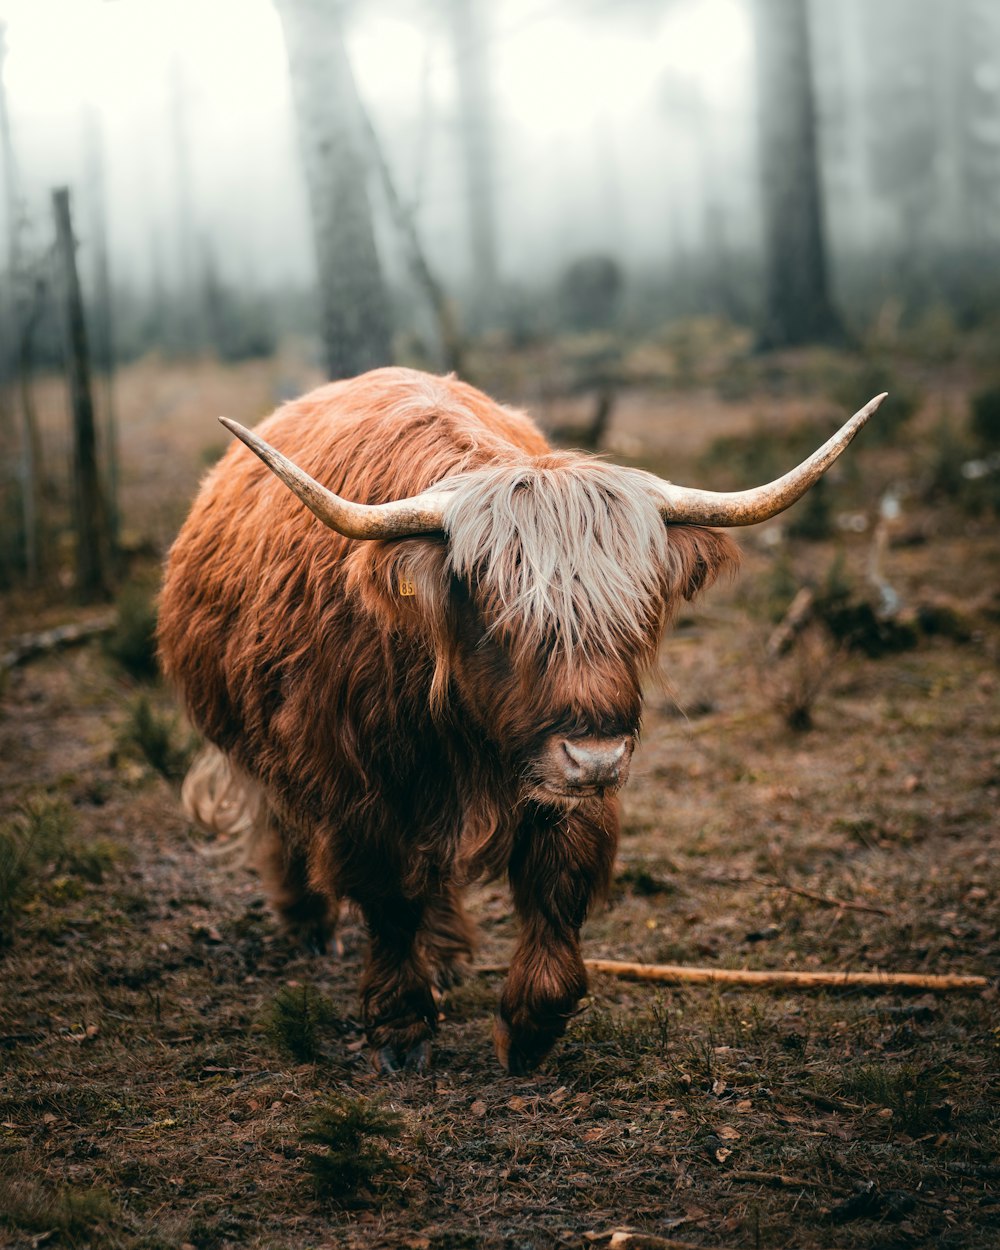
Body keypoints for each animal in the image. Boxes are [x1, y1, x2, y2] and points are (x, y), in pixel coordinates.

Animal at [158, 367, 885, 1075]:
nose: (596, 760)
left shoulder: (565, 788)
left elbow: (557, 887)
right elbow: (389, 897)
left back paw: (448, 953)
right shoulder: (357, 781)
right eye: (504, 617)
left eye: (638, 613)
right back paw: (309, 923)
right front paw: (400, 1027)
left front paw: (530, 1025)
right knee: (281, 822)